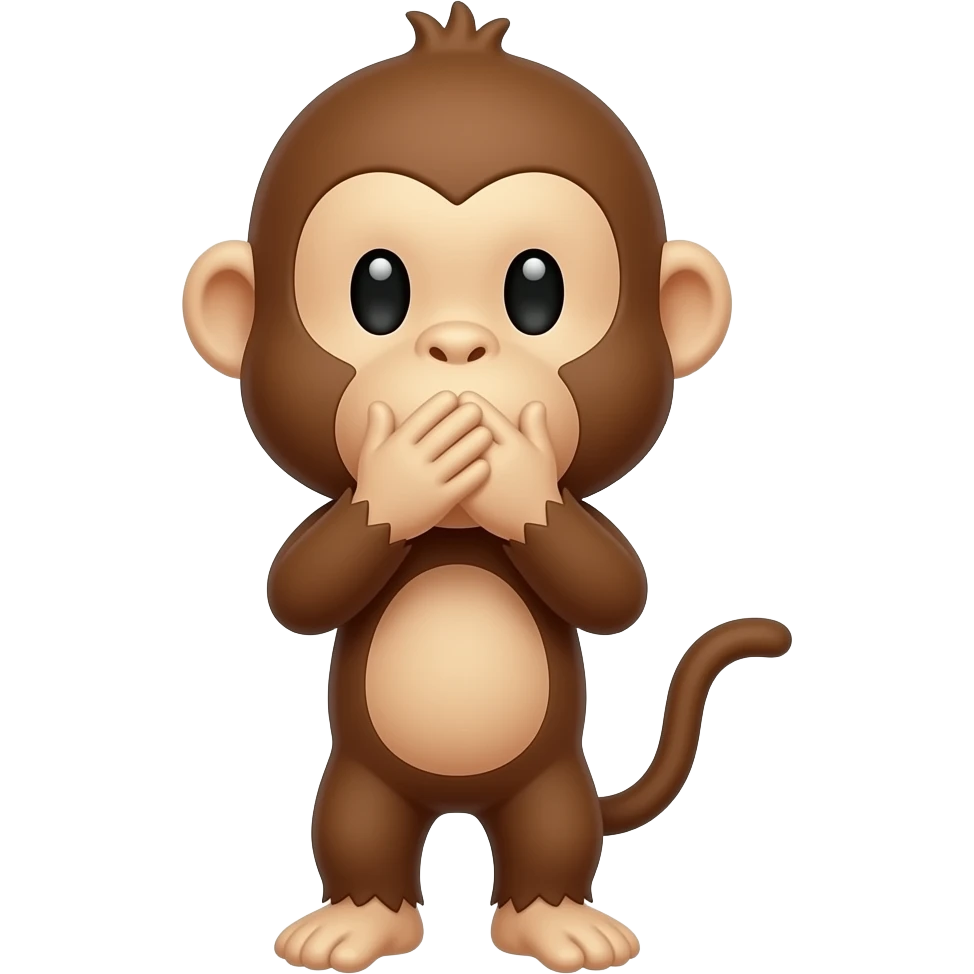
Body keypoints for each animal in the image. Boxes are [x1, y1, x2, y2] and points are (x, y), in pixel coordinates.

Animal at [178, 4, 792, 972]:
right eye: (377, 288)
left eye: (536, 290)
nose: (459, 347)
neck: (456, 534)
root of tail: (458, 805)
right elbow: (299, 587)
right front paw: (411, 470)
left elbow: (616, 588)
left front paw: (513, 472)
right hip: (358, 781)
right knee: (358, 833)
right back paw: (359, 919)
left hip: (553, 782)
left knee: (552, 838)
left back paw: (557, 919)